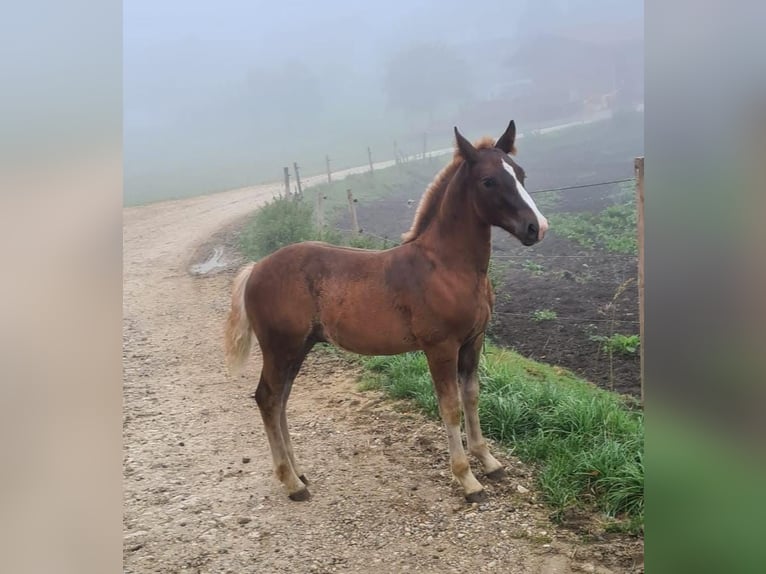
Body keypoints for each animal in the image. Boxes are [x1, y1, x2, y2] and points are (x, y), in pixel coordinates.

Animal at [225, 121, 548, 504]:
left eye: (521, 174)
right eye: (488, 181)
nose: (537, 227)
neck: (447, 267)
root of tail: (256, 268)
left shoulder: (474, 341)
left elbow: (471, 398)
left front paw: (489, 462)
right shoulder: (440, 347)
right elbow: (450, 406)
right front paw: (467, 479)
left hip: (298, 348)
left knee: (281, 400)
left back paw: (299, 473)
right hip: (280, 347)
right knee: (267, 399)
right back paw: (291, 483)